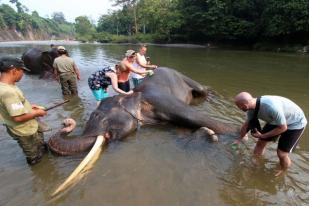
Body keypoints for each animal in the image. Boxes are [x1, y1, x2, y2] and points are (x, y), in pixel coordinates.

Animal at [47, 67, 238, 154]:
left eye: (96, 115)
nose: (66, 122)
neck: (132, 98)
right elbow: (179, 131)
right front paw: (207, 134)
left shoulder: (161, 99)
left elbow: (193, 116)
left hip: (185, 78)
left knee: (202, 90)